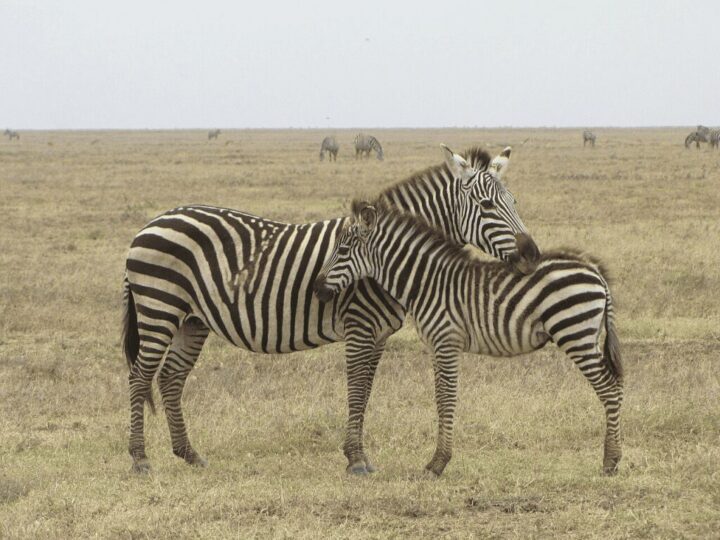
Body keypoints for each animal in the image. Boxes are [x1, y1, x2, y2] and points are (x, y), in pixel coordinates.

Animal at [122, 145, 539, 474]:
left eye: (515, 201)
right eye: (487, 205)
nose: (532, 255)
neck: (383, 253)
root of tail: (150, 223)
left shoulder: (379, 334)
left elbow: (366, 390)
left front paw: (359, 455)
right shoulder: (359, 325)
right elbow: (355, 388)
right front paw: (356, 459)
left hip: (192, 320)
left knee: (170, 378)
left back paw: (190, 455)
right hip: (159, 308)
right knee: (141, 375)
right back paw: (140, 458)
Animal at [314, 201, 623, 477]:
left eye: (342, 250)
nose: (317, 287)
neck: (427, 283)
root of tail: (595, 272)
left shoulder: (447, 341)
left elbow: (446, 398)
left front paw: (437, 464)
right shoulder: (437, 345)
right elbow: (441, 397)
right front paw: (438, 460)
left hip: (575, 334)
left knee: (609, 388)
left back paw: (610, 462)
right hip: (586, 336)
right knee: (617, 386)